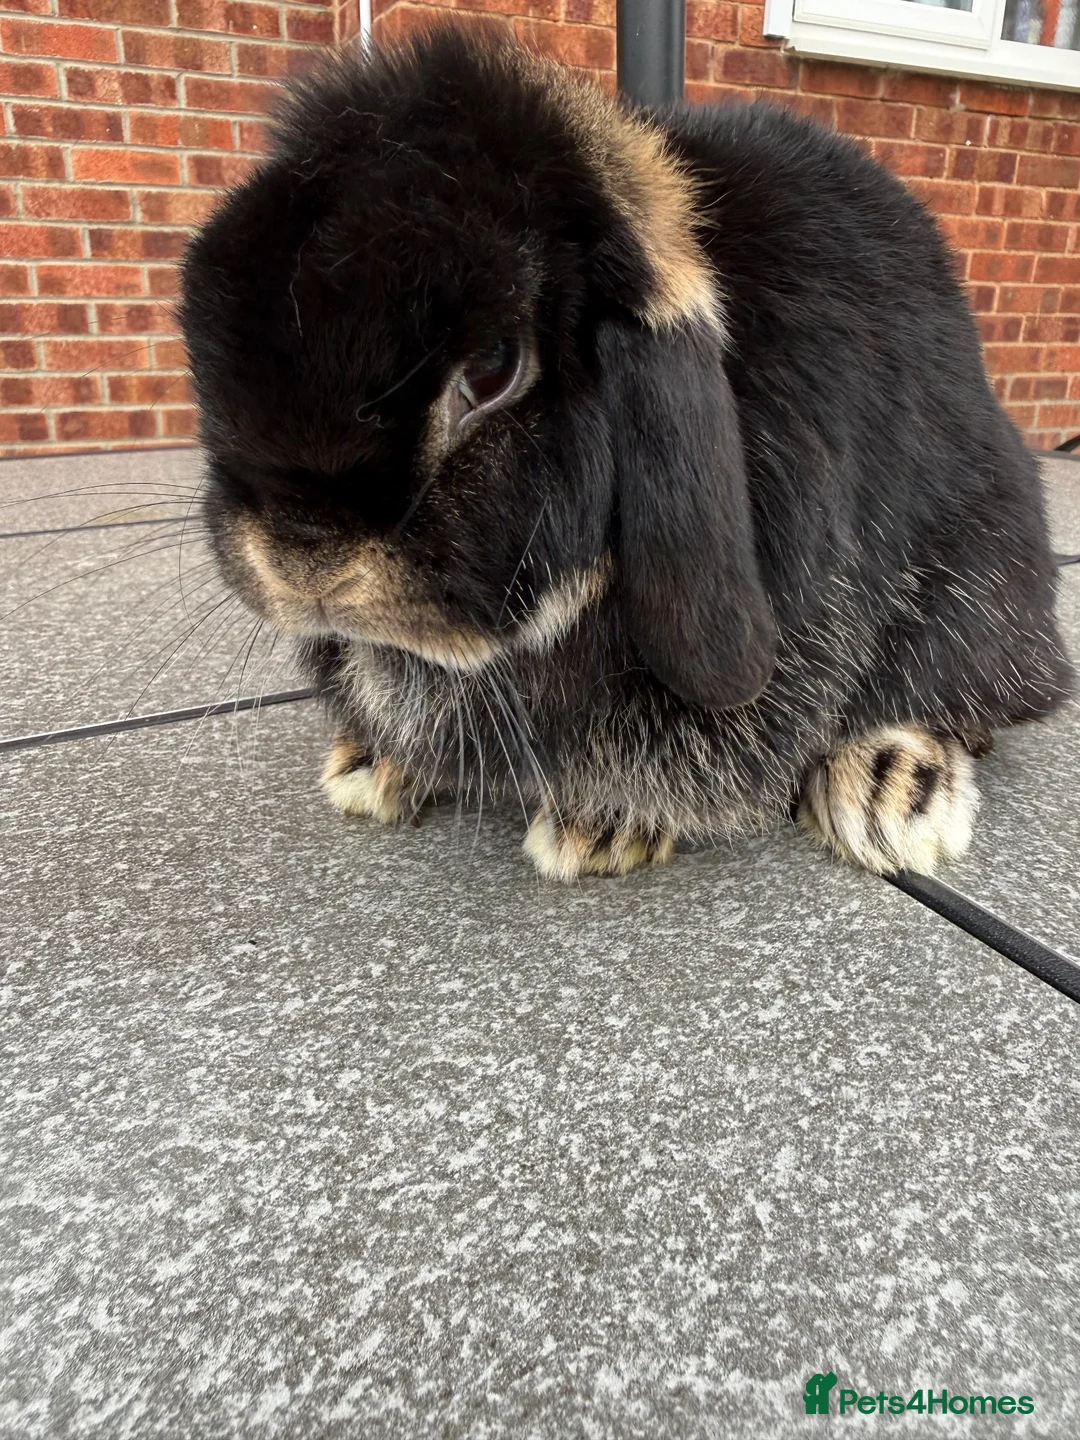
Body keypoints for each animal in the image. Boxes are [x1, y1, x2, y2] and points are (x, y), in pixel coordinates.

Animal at [179, 23, 1073, 882]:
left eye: (494, 369)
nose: (301, 557)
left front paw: (597, 827)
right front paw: (375, 769)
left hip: (982, 574)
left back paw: (889, 793)